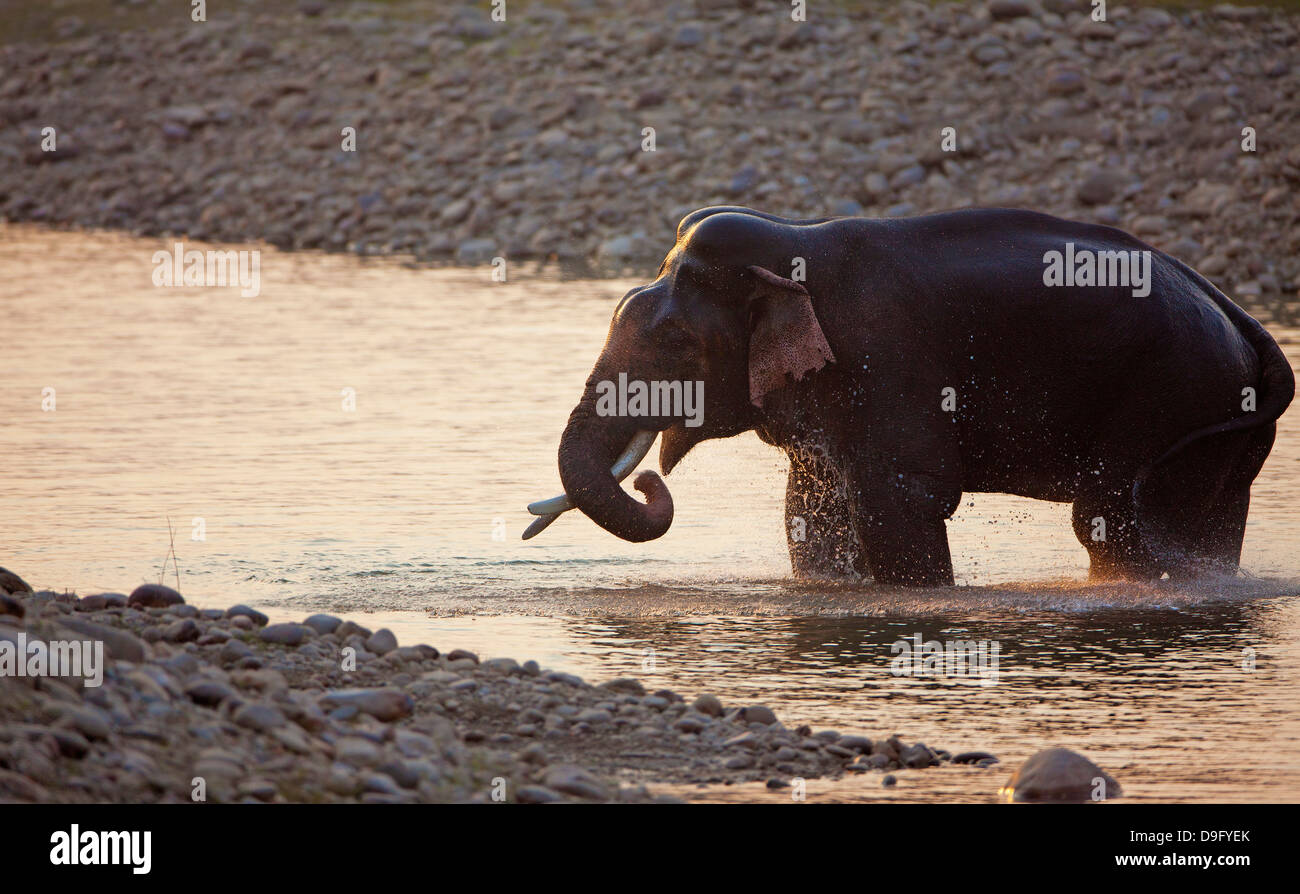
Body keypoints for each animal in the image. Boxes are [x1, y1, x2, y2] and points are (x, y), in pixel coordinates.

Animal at [527, 206, 1293, 586]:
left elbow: (898, 499)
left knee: (1110, 516)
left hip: (1174, 396)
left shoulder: (884, 365)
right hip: (1225, 421)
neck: (795, 243)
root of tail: (1240, 320)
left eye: (675, 342)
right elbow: (812, 509)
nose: (649, 478)